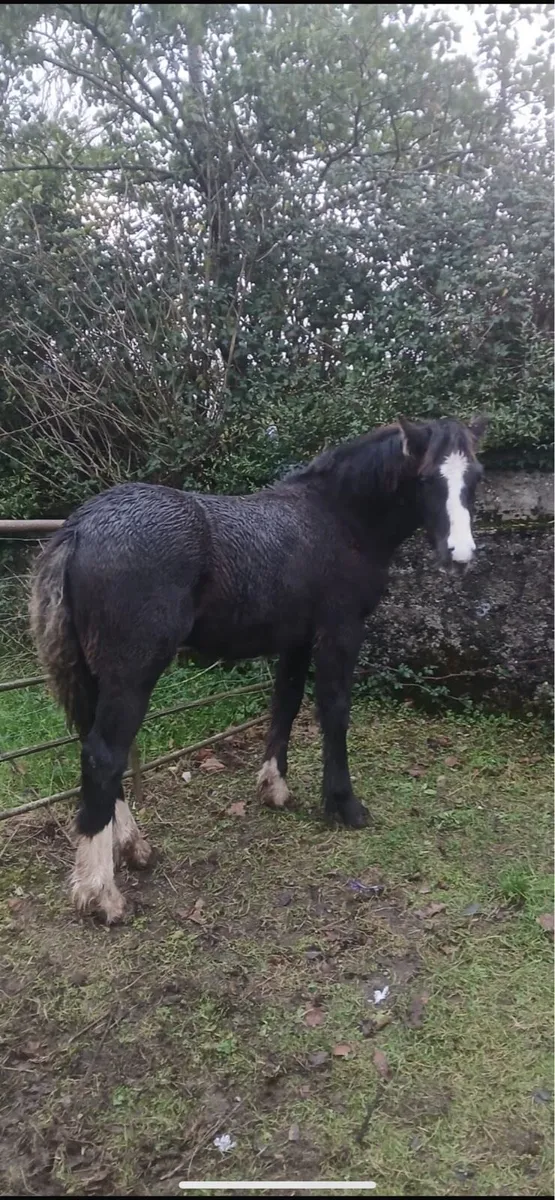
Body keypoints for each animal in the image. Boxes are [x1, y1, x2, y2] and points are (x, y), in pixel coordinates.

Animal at [29, 414, 487, 923]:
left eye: (475, 478)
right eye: (426, 479)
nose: (460, 555)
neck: (337, 518)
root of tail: (80, 529)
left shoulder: (296, 640)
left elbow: (285, 703)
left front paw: (274, 788)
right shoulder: (340, 632)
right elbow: (334, 712)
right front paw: (345, 806)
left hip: (96, 674)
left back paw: (133, 848)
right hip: (132, 673)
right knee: (104, 756)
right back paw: (101, 894)